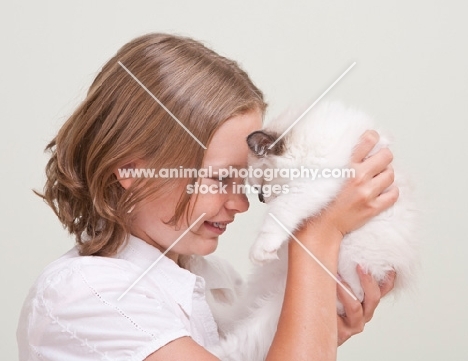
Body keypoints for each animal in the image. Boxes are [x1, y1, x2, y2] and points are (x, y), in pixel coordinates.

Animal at [207, 100, 418, 358]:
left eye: (260, 186)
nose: (261, 199)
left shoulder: (311, 184)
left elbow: (281, 210)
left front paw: (261, 246)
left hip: (291, 302)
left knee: (242, 339)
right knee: (237, 315)